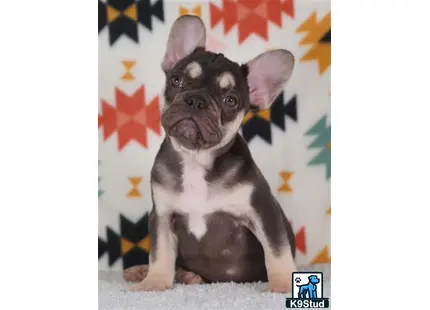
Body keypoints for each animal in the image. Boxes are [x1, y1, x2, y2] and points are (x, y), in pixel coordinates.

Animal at [125, 15, 296, 294]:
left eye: (230, 100)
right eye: (176, 80)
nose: (196, 100)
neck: (196, 160)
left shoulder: (263, 211)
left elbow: (277, 251)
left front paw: (282, 284)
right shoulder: (162, 215)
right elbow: (160, 253)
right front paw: (154, 282)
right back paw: (154, 272)